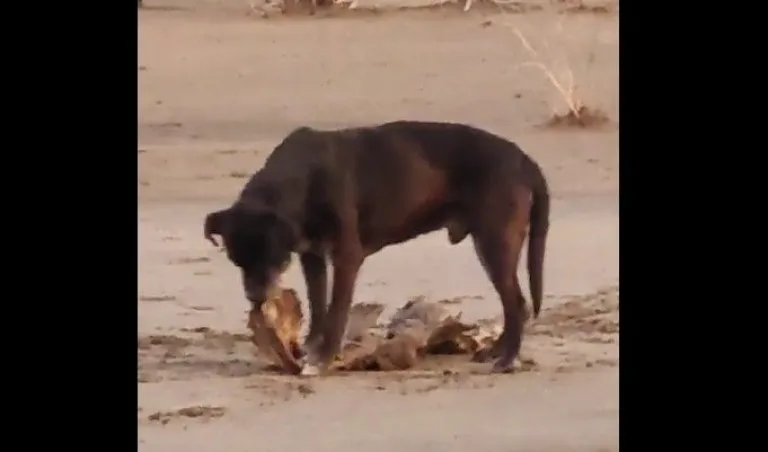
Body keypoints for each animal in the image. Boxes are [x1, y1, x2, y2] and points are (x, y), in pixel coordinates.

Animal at [204, 119, 548, 374]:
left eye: (272, 258)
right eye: (237, 261)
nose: (255, 297)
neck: (300, 176)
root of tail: (524, 160)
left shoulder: (347, 256)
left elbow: (337, 311)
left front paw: (324, 357)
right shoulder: (312, 256)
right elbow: (318, 305)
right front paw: (314, 346)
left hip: (495, 242)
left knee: (517, 303)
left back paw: (507, 359)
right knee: (512, 306)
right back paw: (497, 351)